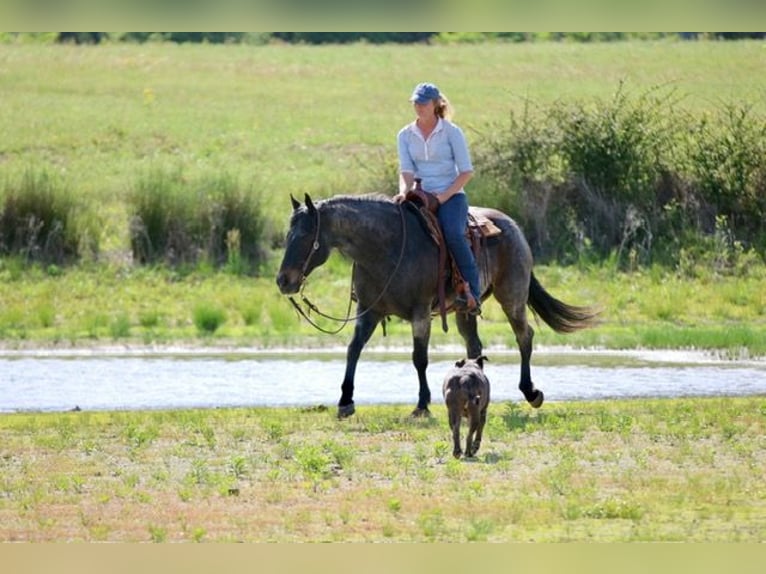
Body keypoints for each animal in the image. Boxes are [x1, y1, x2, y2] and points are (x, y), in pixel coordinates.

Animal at [276, 193, 599, 419]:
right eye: (287, 235)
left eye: (306, 236)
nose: (283, 281)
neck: (386, 249)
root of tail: (513, 226)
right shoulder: (370, 310)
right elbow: (353, 350)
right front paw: (345, 401)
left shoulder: (420, 314)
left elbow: (419, 358)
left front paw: (422, 404)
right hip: (467, 310)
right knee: (475, 346)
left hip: (512, 297)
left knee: (524, 336)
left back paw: (530, 392)